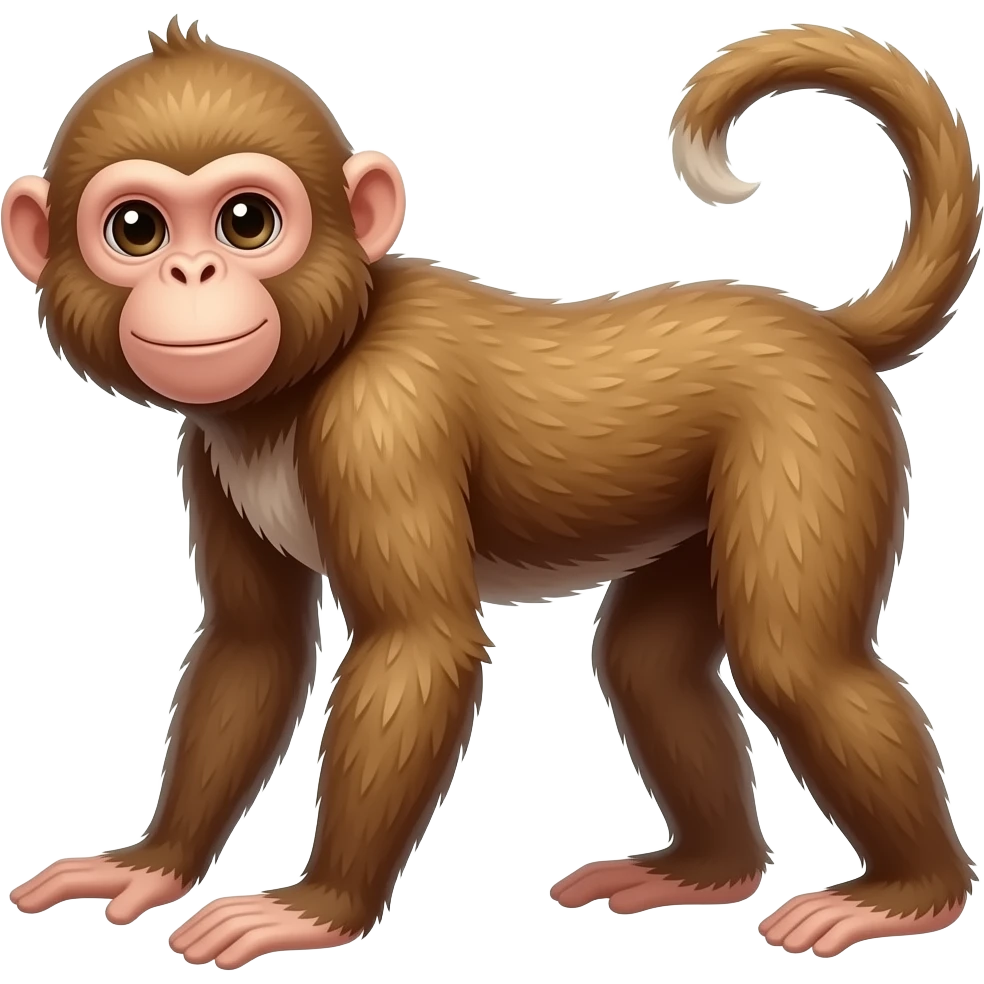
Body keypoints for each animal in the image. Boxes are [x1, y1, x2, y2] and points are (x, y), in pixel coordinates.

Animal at [2, 16, 979, 968]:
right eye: (138, 230)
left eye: (247, 222)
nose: (192, 275)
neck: (303, 378)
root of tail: (824, 331)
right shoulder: (209, 449)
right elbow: (254, 645)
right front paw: (154, 862)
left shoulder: (383, 419)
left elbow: (417, 645)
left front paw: (319, 908)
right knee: (648, 663)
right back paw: (708, 870)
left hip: (809, 437)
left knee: (794, 661)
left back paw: (910, 894)